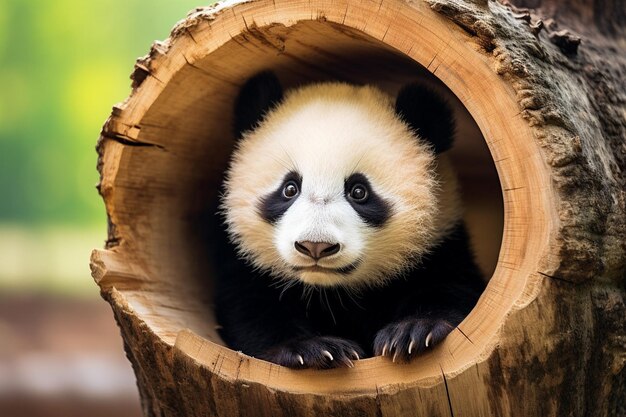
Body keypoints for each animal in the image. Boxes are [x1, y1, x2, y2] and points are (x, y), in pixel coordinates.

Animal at [212, 70, 486, 368]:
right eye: (290, 188)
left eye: (358, 191)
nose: (315, 246)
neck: (330, 292)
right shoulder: (246, 265)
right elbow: (252, 307)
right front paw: (312, 349)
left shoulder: (441, 243)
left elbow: (450, 287)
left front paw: (412, 331)